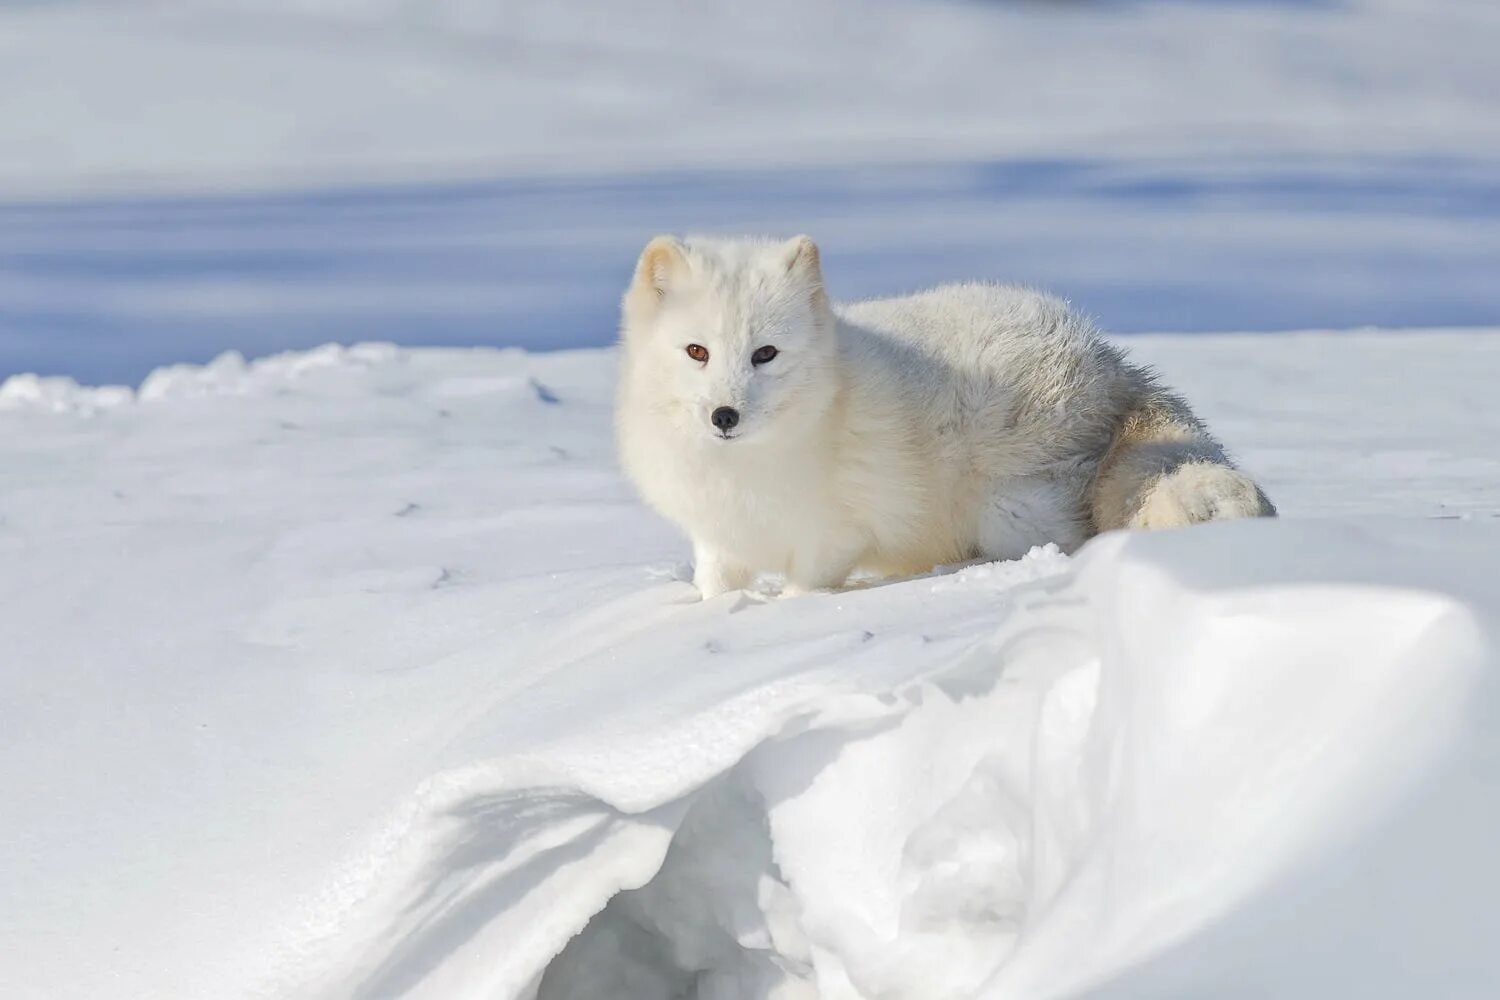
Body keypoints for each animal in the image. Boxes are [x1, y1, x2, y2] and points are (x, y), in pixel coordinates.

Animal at [615, 236, 1272, 593]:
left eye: (765, 354)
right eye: (696, 352)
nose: (724, 415)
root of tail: (1108, 359)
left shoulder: (834, 535)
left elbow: (804, 590)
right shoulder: (716, 536)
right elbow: (714, 587)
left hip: (1006, 510)